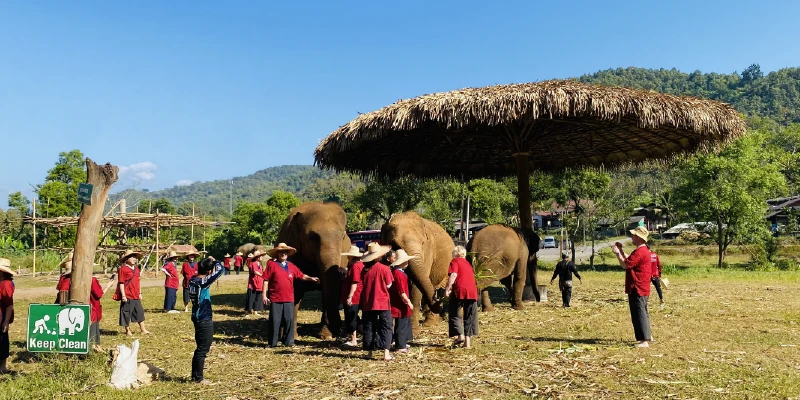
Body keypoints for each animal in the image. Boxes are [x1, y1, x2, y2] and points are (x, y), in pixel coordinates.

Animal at [277, 202, 352, 340]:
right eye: (313, 237)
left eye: (343, 237)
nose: (338, 330)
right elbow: (294, 290)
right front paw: (290, 337)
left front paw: (326, 336)